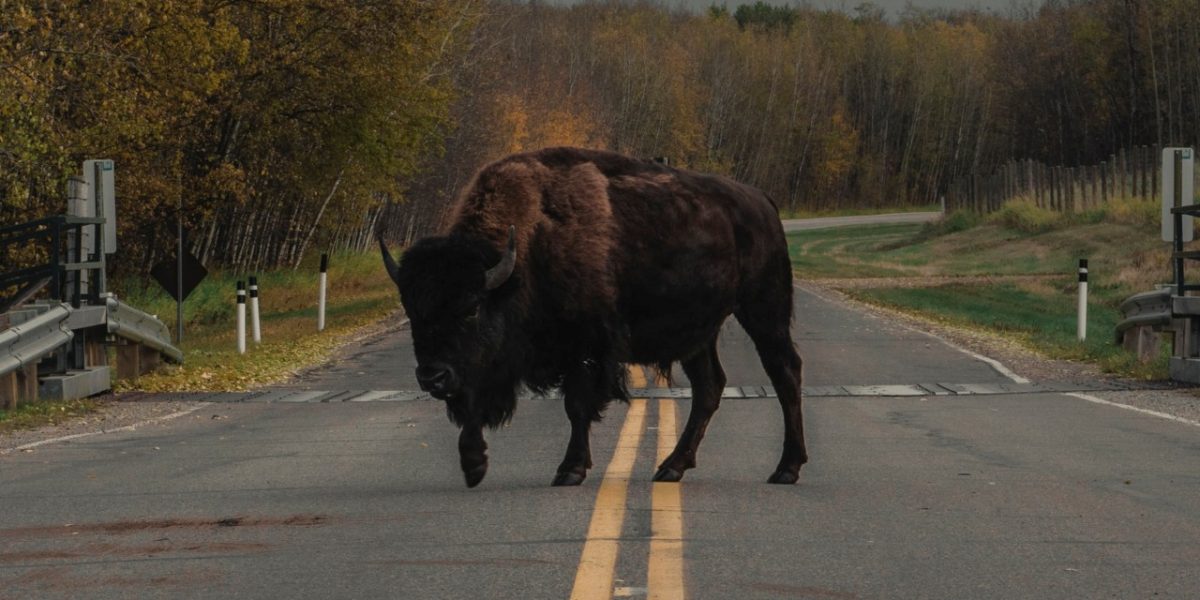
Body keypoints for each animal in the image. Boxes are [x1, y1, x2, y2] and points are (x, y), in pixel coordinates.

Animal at [374, 146, 806, 487]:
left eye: (472, 307)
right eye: (413, 311)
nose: (431, 376)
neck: (526, 253)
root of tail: (762, 202)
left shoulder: (586, 348)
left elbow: (576, 407)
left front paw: (570, 470)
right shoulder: (490, 364)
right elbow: (474, 403)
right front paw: (473, 465)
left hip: (764, 308)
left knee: (784, 372)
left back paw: (786, 468)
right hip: (699, 333)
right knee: (709, 387)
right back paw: (671, 467)